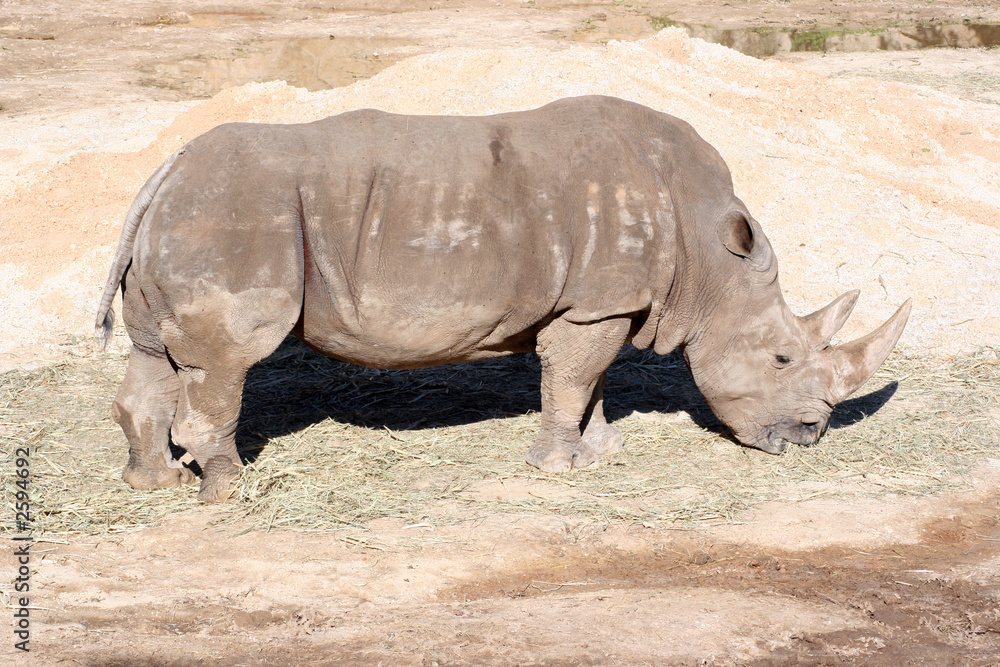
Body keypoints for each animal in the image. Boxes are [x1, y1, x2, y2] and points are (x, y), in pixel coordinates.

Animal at [95, 95, 910, 502]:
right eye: (782, 358)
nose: (808, 436)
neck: (712, 263)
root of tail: (165, 170)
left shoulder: (600, 301)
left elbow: (591, 380)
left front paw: (599, 451)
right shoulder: (598, 300)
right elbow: (573, 378)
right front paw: (557, 469)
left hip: (192, 217)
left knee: (153, 356)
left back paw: (156, 482)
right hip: (237, 217)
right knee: (227, 360)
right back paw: (228, 489)